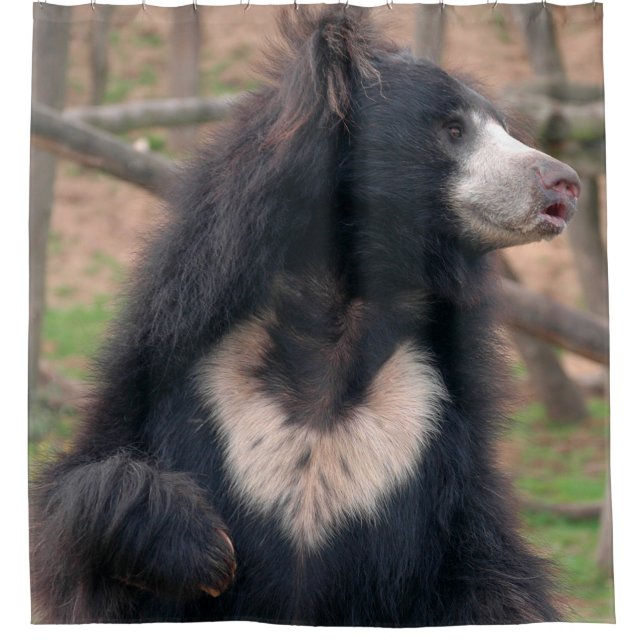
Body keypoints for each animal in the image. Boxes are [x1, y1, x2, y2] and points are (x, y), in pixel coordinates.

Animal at [30, 7, 580, 626]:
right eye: (453, 129)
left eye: (504, 128)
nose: (564, 183)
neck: (342, 313)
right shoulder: (170, 374)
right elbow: (79, 496)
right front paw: (203, 549)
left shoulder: (437, 441)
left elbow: (493, 583)